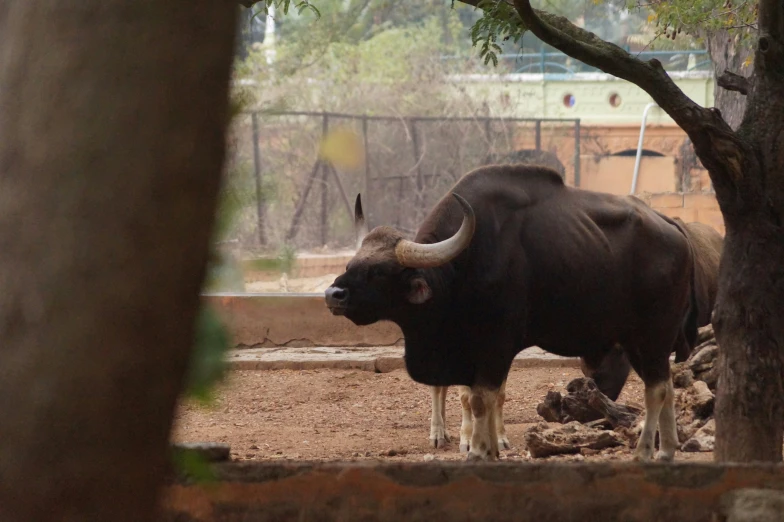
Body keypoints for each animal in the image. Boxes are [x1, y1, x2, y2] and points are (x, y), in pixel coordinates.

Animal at [328, 164, 720, 460]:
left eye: (379, 271)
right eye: (351, 263)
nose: (334, 294)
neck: (462, 267)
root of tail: (677, 231)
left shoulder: (495, 346)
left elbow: (482, 399)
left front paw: (481, 451)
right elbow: (472, 397)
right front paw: (483, 446)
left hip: (651, 335)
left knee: (655, 390)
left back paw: (644, 452)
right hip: (641, 342)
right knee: (663, 385)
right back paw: (666, 449)